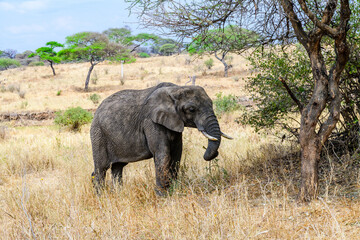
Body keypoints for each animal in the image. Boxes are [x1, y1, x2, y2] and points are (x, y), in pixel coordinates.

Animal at [89, 82, 231, 195]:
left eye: (211, 104)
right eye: (191, 109)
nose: (213, 154)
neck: (176, 89)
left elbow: (176, 155)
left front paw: (173, 191)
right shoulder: (151, 122)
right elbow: (163, 153)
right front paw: (162, 196)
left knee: (117, 168)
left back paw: (119, 195)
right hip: (98, 133)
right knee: (101, 169)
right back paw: (101, 197)